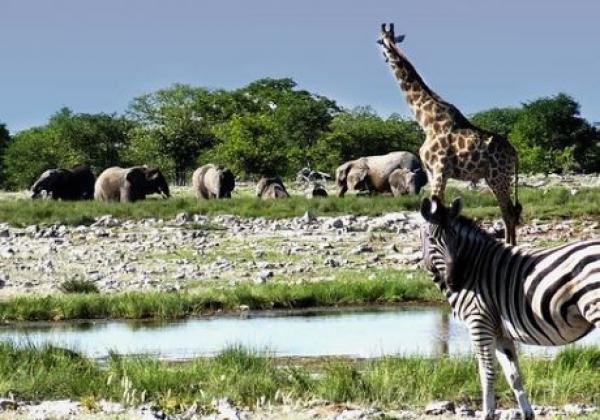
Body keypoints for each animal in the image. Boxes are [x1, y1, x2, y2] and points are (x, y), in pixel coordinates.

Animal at [378, 23, 524, 244]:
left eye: (379, 42)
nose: (386, 56)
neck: (426, 121)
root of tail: (514, 154)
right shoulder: (432, 171)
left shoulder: (440, 169)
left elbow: (435, 210)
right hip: (496, 178)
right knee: (509, 211)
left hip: (499, 177)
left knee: (508, 212)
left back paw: (510, 245)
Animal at [420, 197, 596, 420]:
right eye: (431, 239)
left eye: (455, 240)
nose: (456, 281)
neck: (473, 268)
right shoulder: (499, 333)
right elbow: (513, 375)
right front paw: (527, 414)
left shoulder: (479, 323)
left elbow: (487, 372)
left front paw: (487, 413)